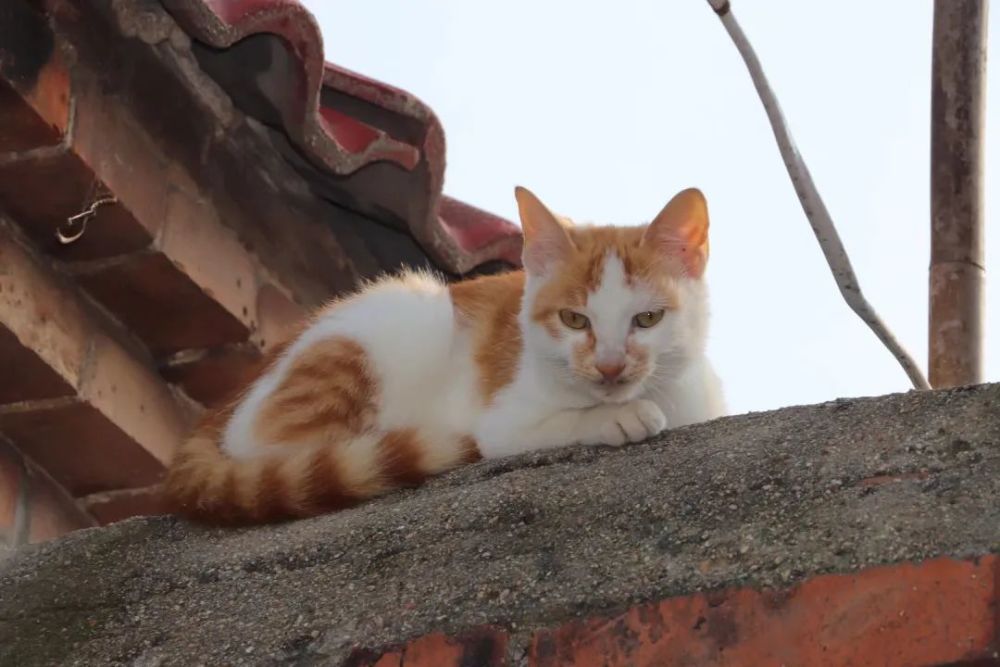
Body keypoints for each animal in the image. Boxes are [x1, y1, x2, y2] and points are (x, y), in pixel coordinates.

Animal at [164, 187, 728, 520]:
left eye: (647, 320)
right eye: (574, 320)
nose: (610, 366)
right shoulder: (501, 420)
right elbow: (551, 424)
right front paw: (617, 417)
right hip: (404, 317)